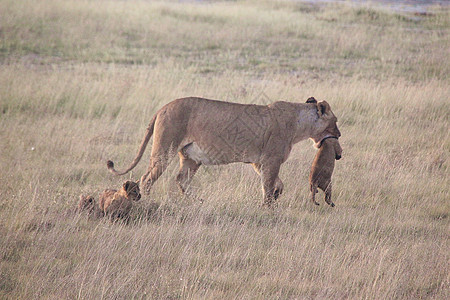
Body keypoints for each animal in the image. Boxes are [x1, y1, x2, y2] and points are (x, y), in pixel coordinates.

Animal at [108, 97, 342, 205]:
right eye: (335, 122)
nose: (339, 136)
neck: (300, 124)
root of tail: (163, 107)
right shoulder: (270, 159)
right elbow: (267, 185)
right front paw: (269, 207)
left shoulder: (259, 162)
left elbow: (276, 183)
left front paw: (277, 195)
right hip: (165, 149)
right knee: (147, 178)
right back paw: (146, 201)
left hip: (190, 157)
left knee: (182, 179)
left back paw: (199, 202)